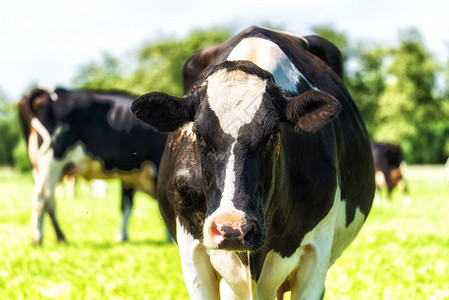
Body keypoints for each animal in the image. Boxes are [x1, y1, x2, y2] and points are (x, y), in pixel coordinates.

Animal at [18, 88, 167, 245]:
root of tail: (45, 90)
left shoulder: (129, 176)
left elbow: (126, 206)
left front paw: (123, 237)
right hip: (52, 159)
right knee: (42, 195)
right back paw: (38, 238)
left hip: (39, 166)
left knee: (49, 198)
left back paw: (60, 237)